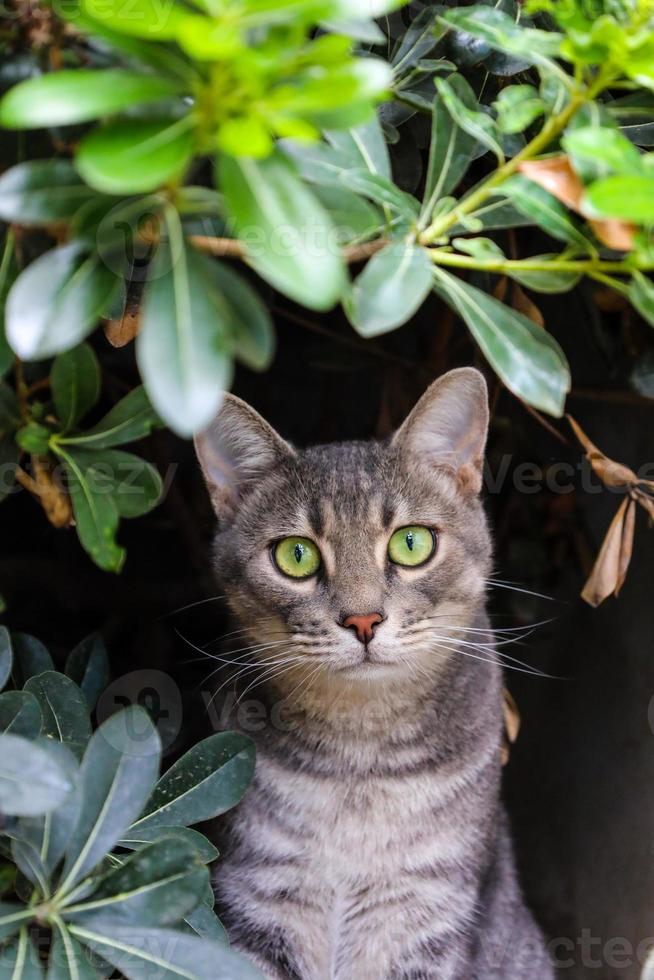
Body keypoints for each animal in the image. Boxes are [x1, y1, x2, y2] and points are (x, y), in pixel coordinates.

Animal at [195, 370, 552, 980]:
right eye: (295, 555)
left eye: (411, 543)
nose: (363, 620)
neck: (358, 760)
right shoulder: (258, 892)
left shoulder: (425, 910)